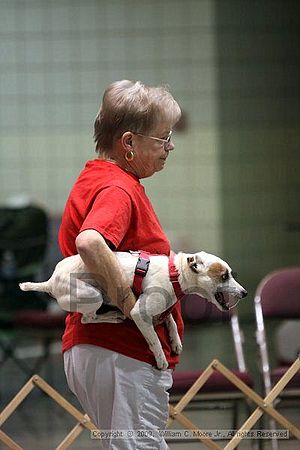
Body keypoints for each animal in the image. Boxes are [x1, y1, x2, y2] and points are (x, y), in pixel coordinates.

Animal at [19, 250, 247, 370]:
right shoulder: (139, 312)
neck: (175, 273)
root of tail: (50, 282)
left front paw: (175, 340)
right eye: (224, 276)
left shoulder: (165, 305)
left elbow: (170, 319)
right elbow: (154, 340)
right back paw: (112, 316)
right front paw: (161, 359)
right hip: (93, 295)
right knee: (87, 318)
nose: (244, 292)